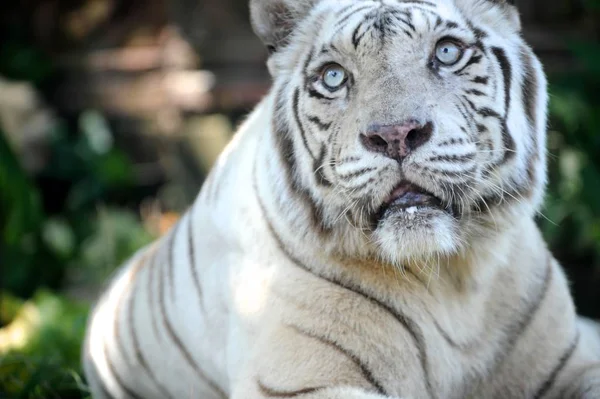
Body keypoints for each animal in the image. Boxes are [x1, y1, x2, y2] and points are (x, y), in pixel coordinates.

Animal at [82, 0, 600, 398]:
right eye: (334, 77)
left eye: (447, 52)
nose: (395, 134)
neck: (450, 278)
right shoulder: (297, 380)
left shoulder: (571, 362)